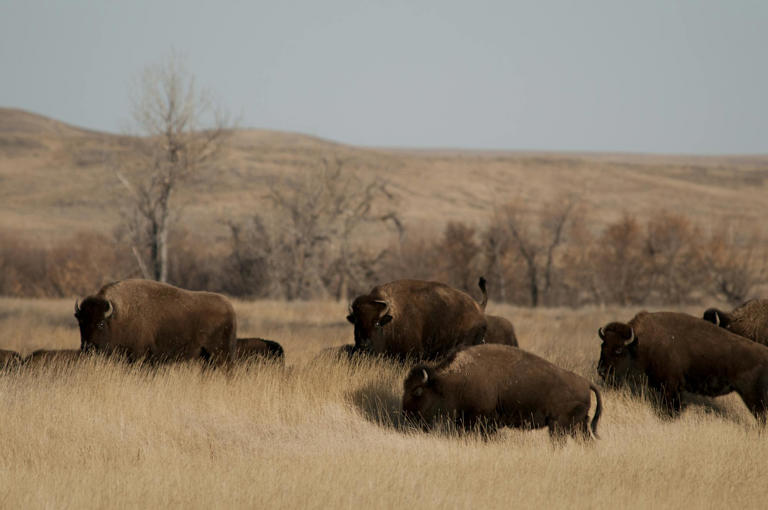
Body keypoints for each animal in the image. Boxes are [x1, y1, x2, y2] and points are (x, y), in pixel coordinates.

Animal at [75, 279, 236, 364]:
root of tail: (230, 307)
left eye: (101, 323)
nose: (88, 347)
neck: (118, 315)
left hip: (220, 353)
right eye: (81, 322)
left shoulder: (139, 356)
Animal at [402, 344, 602, 441]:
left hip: (559, 425)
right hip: (578, 425)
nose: (406, 416)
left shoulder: (481, 420)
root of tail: (586, 383)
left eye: (417, 391)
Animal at [598, 311, 768, 423]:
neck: (639, 344)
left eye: (618, 349)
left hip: (752, 397)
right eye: (603, 345)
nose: (601, 371)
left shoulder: (670, 388)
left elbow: (671, 409)